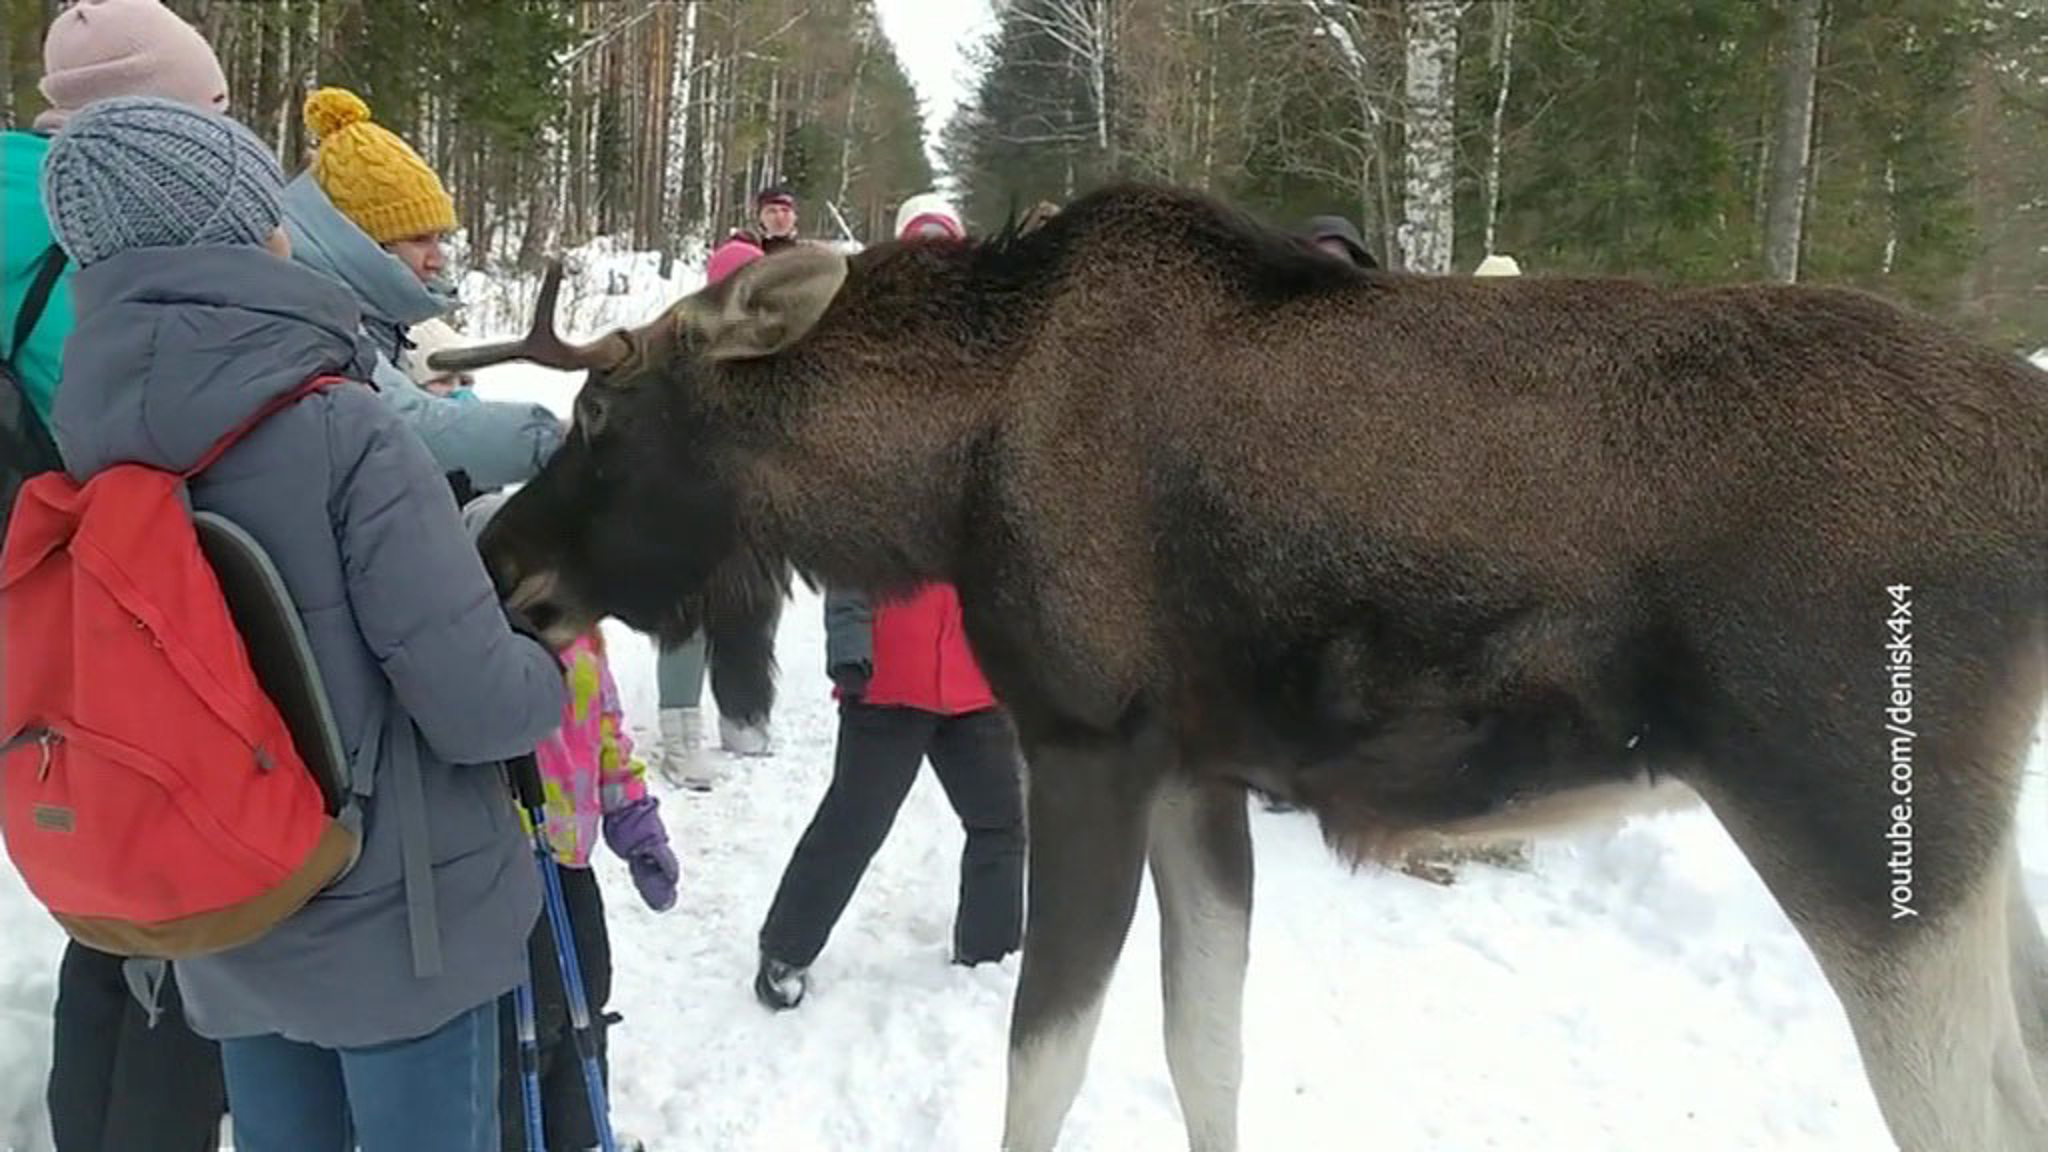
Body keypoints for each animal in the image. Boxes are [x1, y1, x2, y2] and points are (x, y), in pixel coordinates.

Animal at [432, 182, 2048, 1151]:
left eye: (603, 419)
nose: (495, 561)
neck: (939, 477)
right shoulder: (1201, 774)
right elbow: (1201, 1043)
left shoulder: (1086, 740)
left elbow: (1046, 1058)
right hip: (1958, 842)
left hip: (1850, 814)